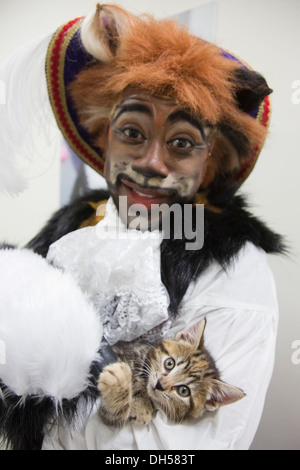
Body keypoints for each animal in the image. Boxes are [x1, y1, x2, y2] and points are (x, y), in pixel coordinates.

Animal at [97, 320, 245, 426]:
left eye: (183, 391)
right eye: (169, 363)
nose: (160, 384)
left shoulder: (109, 416)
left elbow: (113, 413)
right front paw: (141, 405)